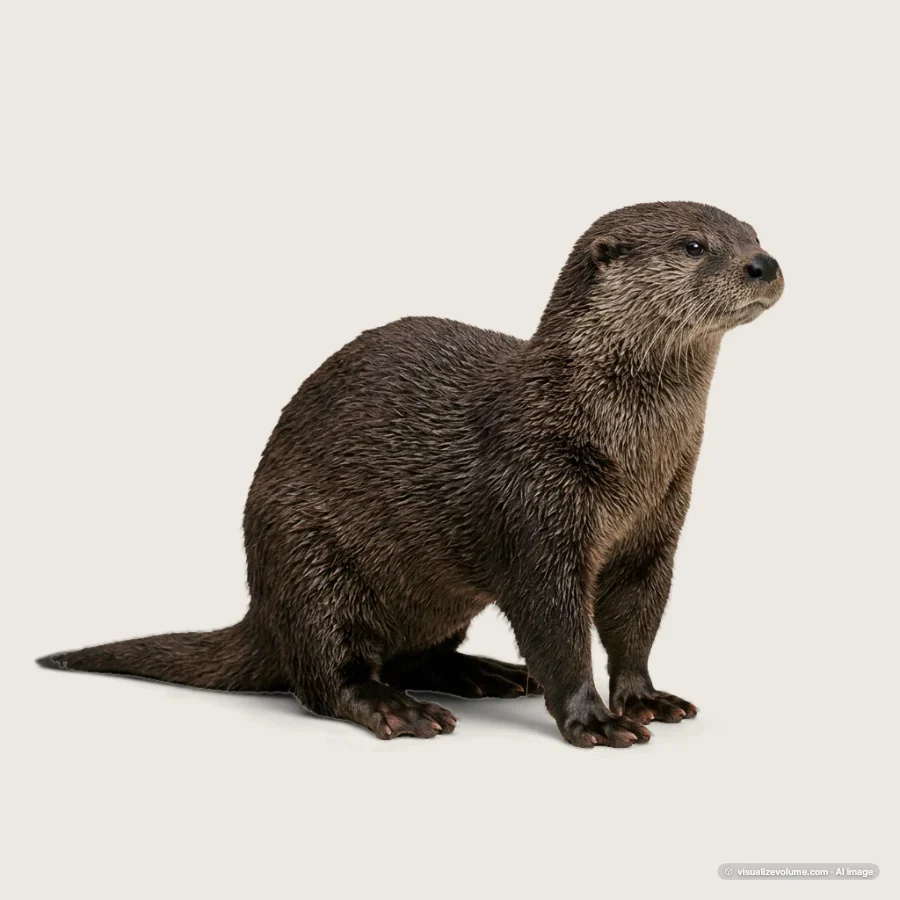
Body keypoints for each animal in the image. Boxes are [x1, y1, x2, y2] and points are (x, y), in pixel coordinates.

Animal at [38, 201, 784, 747]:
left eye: (752, 232)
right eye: (694, 245)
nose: (763, 263)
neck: (626, 453)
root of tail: (263, 609)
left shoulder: (657, 527)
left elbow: (636, 621)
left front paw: (645, 697)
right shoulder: (536, 504)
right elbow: (557, 627)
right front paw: (591, 719)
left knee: (414, 652)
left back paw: (482, 673)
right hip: (304, 555)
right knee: (322, 674)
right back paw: (397, 708)